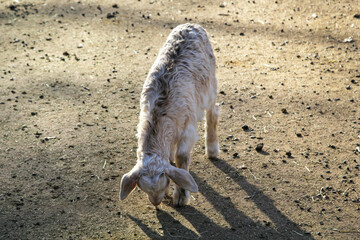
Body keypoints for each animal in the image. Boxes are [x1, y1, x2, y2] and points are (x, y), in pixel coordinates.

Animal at [119, 23, 218, 206]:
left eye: (165, 182)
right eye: (141, 187)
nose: (156, 203)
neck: (158, 115)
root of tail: (192, 25)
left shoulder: (188, 129)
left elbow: (182, 157)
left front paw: (181, 197)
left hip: (210, 84)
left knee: (213, 112)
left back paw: (213, 149)